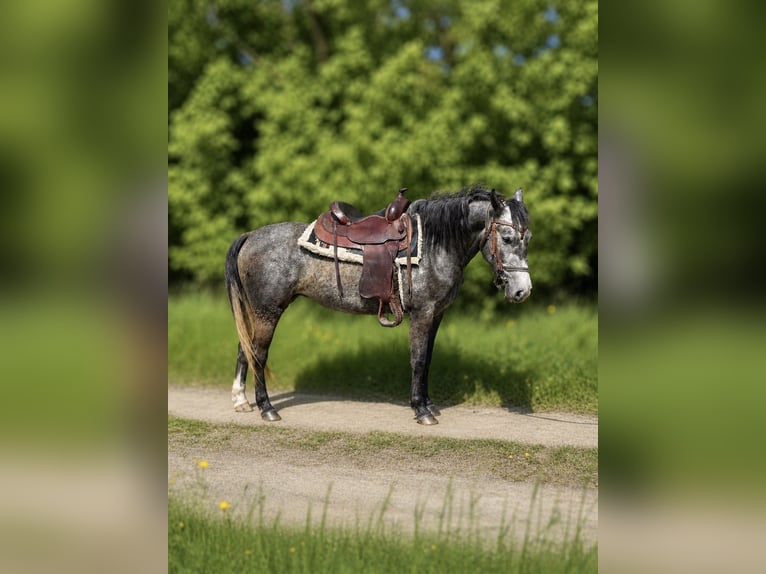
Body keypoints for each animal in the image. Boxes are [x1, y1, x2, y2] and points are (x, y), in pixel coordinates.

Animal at [225, 185, 532, 425]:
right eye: (507, 238)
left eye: (527, 238)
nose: (523, 291)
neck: (435, 246)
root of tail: (250, 235)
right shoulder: (423, 314)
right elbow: (418, 360)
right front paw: (421, 411)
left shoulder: (437, 315)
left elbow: (428, 359)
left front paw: (429, 405)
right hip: (268, 310)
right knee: (258, 353)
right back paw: (267, 409)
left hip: (256, 311)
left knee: (244, 348)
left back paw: (241, 401)